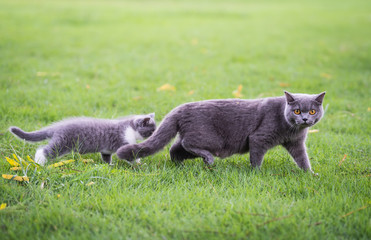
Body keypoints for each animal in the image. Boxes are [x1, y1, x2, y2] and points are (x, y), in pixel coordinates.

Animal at [9, 113, 156, 166]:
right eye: (152, 130)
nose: (155, 134)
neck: (130, 127)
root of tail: (58, 127)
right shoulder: (122, 141)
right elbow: (130, 155)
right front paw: (139, 163)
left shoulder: (106, 149)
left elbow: (106, 156)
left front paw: (109, 165)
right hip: (62, 143)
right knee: (44, 150)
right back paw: (39, 163)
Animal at [117, 92, 326, 172]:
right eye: (297, 111)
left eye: (312, 111)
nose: (305, 119)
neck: (291, 129)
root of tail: (180, 108)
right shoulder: (259, 137)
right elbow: (256, 156)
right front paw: (257, 172)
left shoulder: (297, 142)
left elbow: (302, 158)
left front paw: (310, 174)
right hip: (210, 139)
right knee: (187, 144)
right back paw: (208, 159)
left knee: (175, 148)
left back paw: (180, 165)